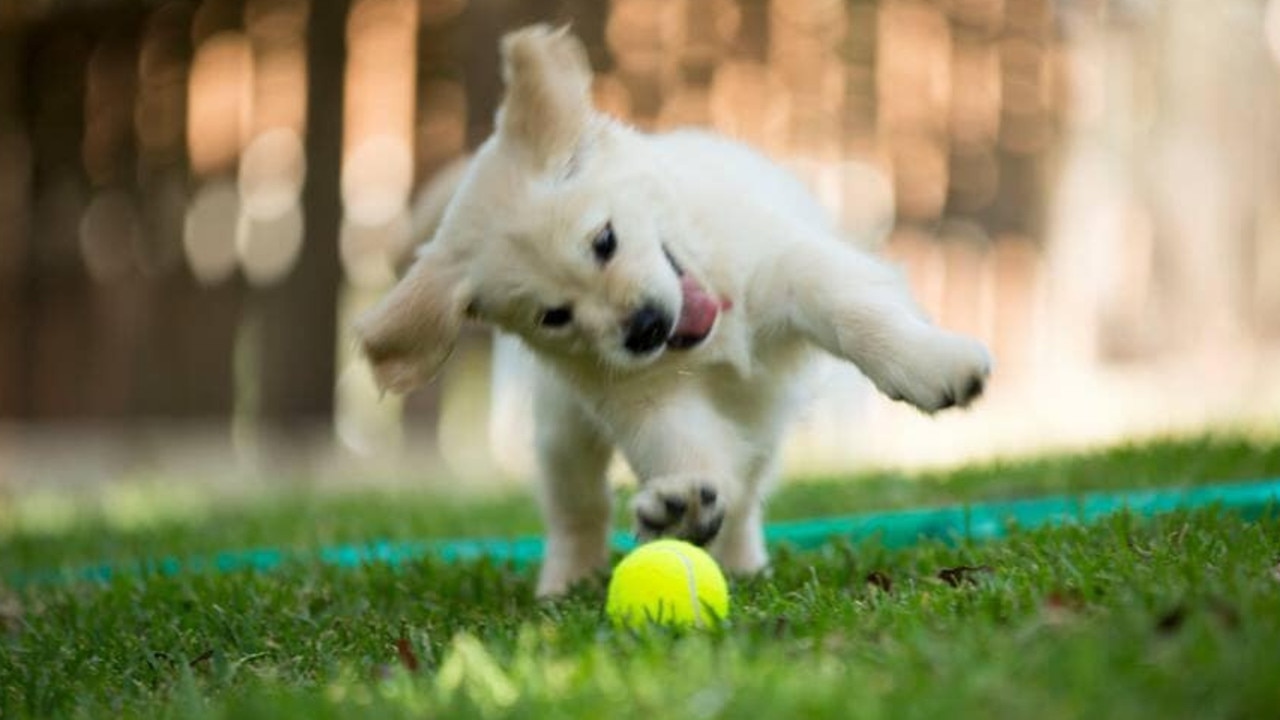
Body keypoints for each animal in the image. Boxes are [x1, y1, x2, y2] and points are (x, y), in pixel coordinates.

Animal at [355, 23, 993, 594]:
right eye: (553, 316)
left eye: (604, 240)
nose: (645, 330)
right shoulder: (640, 395)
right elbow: (686, 447)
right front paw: (681, 505)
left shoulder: (791, 266)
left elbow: (858, 313)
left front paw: (933, 365)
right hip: (563, 429)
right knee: (579, 506)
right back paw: (567, 580)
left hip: (763, 424)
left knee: (747, 493)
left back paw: (741, 562)